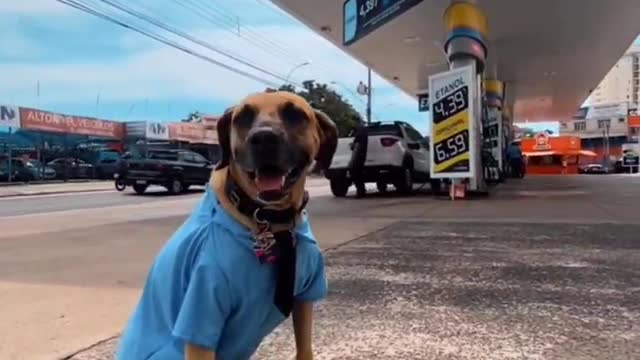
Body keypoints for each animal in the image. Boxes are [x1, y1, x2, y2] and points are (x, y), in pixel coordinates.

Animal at [118, 90, 342, 360]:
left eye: (295, 114)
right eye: (243, 117)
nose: (263, 138)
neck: (272, 221)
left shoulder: (304, 299)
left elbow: (304, 348)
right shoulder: (202, 313)